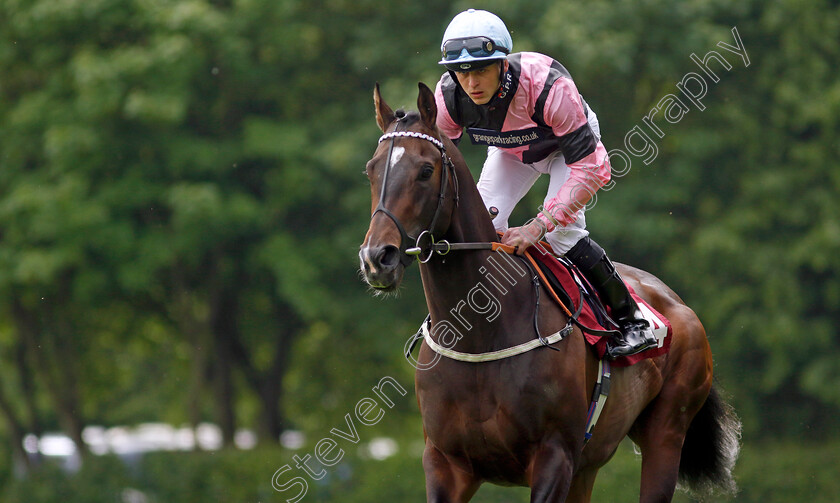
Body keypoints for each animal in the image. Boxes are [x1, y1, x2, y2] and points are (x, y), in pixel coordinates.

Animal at [358, 80, 740, 502]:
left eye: (425, 171)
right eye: (371, 170)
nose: (377, 257)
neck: (481, 334)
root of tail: (678, 303)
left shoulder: (554, 456)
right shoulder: (445, 463)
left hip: (666, 433)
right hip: (587, 466)